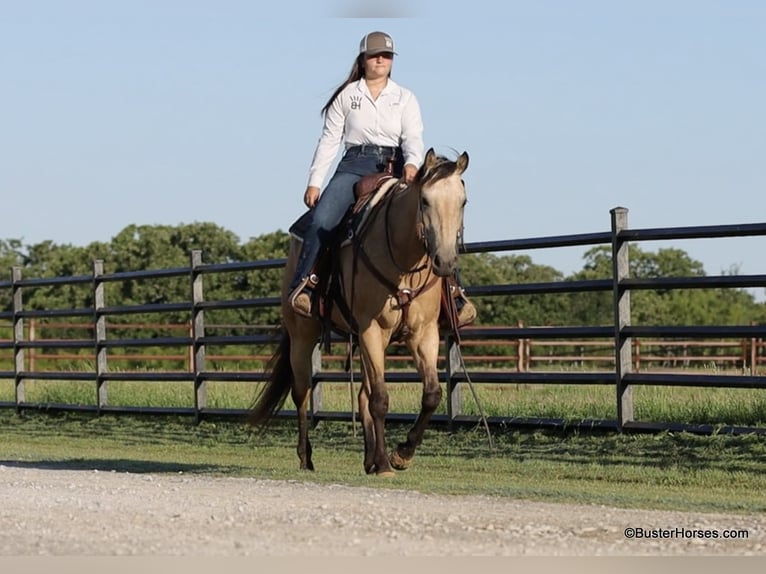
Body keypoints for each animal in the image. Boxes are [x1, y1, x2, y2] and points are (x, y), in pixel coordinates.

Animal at [249, 148, 469, 476]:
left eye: (463, 201)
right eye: (425, 200)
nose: (444, 262)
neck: (403, 259)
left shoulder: (423, 333)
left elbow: (431, 394)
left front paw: (401, 454)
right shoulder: (371, 328)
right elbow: (380, 398)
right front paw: (388, 463)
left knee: (362, 393)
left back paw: (370, 458)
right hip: (304, 336)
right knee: (302, 392)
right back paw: (306, 457)